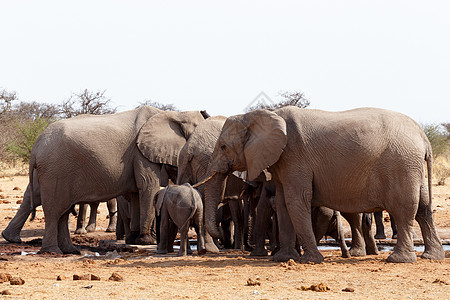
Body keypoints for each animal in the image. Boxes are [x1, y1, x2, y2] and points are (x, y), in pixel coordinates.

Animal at [29, 106, 208, 254]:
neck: (176, 114)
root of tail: (35, 147)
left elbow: (136, 194)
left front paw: (135, 239)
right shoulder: (141, 153)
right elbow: (147, 186)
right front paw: (147, 241)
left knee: (63, 213)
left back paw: (71, 251)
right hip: (54, 171)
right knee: (54, 211)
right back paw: (53, 252)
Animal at [206, 106, 444, 262]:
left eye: (223, 146)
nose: (220, 240)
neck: (262, 116)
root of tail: (423, 137)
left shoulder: (294, 156)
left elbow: (296, 200)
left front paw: (311, 260)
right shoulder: (283, 162)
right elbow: (283, 203)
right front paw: (283, 258)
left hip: (401, 164)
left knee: (404, 209)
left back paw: (399, 259)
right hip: (411, 166)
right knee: (423, 208)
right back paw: (432, 256)